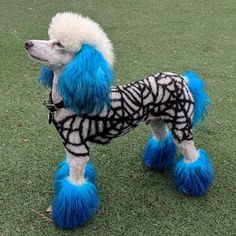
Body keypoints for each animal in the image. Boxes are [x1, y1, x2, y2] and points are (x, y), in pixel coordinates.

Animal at [24, 12, 214, 229]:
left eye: (59, 44)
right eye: (50, 38)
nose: (27, 43)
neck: (67, 100)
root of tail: (184, 79)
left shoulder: (78, 149)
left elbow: (75, 187)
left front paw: (70, 217)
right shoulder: (71, 147)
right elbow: (69, 169)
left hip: (181, 125)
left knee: (192, 156)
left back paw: (194, 186)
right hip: (157, 121)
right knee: (163, 140)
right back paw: (158, 163)